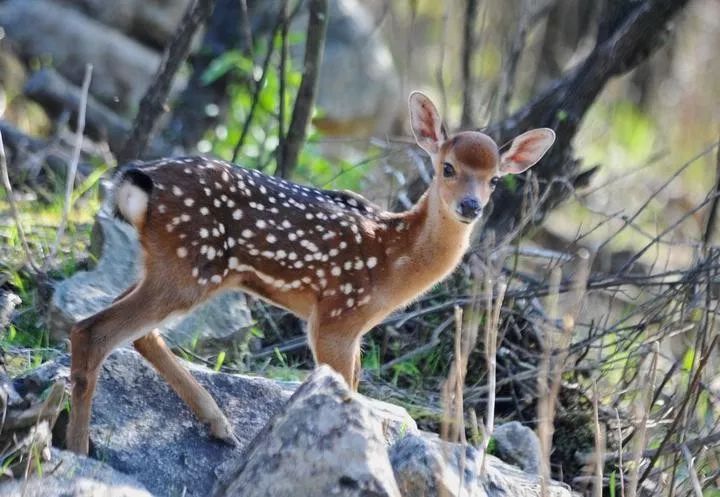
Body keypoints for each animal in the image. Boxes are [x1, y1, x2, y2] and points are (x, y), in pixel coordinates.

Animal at [66, 92, 552, 454]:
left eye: (493, 179)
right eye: (447, 168)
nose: (471, 206)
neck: (394, 260)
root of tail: (139, 182)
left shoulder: (354, 330)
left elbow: (352, 386)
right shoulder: (336, 317)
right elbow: (345, 393)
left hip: (172, 265)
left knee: (134, 330)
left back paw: (219, 424)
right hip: (189, 266)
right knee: (93, 330)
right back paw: (78, 450)